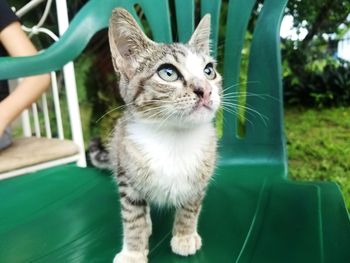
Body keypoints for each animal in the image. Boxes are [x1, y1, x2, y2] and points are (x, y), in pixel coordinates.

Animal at [107, 8, 221, 263]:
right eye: (168, 73)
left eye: (209, 71)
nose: (205, 90)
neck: (173, 137)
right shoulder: (127, 176)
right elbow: (133, 217)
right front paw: (133, 252)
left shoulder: (201, 175)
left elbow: (190, 207)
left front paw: (185, 236)